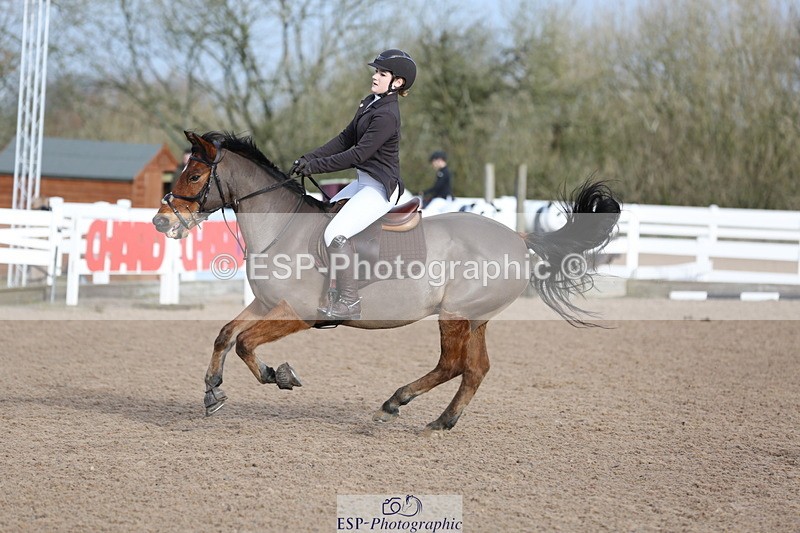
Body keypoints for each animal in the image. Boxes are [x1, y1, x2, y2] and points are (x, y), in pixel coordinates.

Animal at [152, 130, 621, 432]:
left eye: (194, 176)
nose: (160, 222)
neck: (281, 227)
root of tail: (517, 237)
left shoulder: (298, 313)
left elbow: (246, 342)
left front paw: (279, 375)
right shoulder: (268, 305)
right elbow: (226, 333)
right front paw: (213, 391)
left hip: (454, 315)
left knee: (452, 365)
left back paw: (392, 405)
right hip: (475, 319)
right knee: (475, 369)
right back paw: (442, 421)